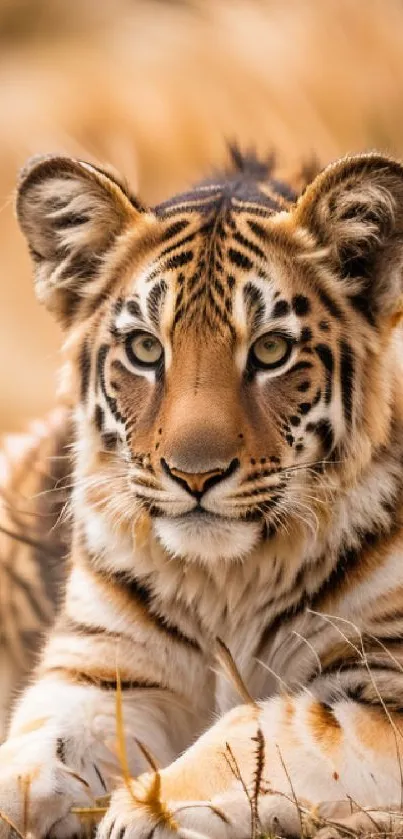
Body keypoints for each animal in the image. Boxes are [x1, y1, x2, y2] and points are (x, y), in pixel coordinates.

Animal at [0, 151, 403, 839]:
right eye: (144, 348)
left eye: (270, 350)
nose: (194, 475)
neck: (226, 581)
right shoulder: (103, 671)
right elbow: (31, 757)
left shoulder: (387, 682)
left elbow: (268, 727)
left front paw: (143, 810)